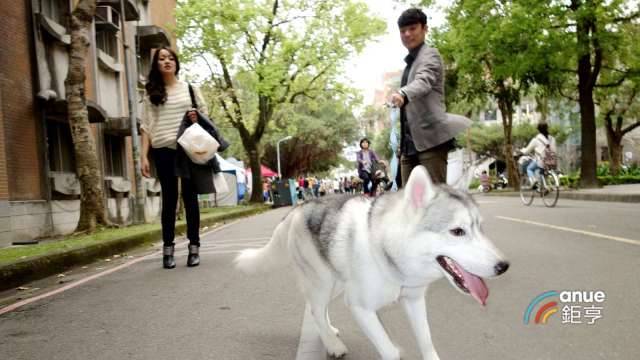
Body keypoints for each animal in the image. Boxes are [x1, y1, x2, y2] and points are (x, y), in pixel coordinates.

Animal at [235, 167, 510, 360]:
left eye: (480, 227)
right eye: (457, 231)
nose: (503, 266)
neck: (388, 252)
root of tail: (297, 208)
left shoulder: (414, 301)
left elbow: (427, 342)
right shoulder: (360, 308)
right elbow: (390, 351)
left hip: (336, 284)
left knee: (318, 310)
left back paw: (330, 332)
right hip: (323, 283)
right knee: (315, 309)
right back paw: (333, 345)